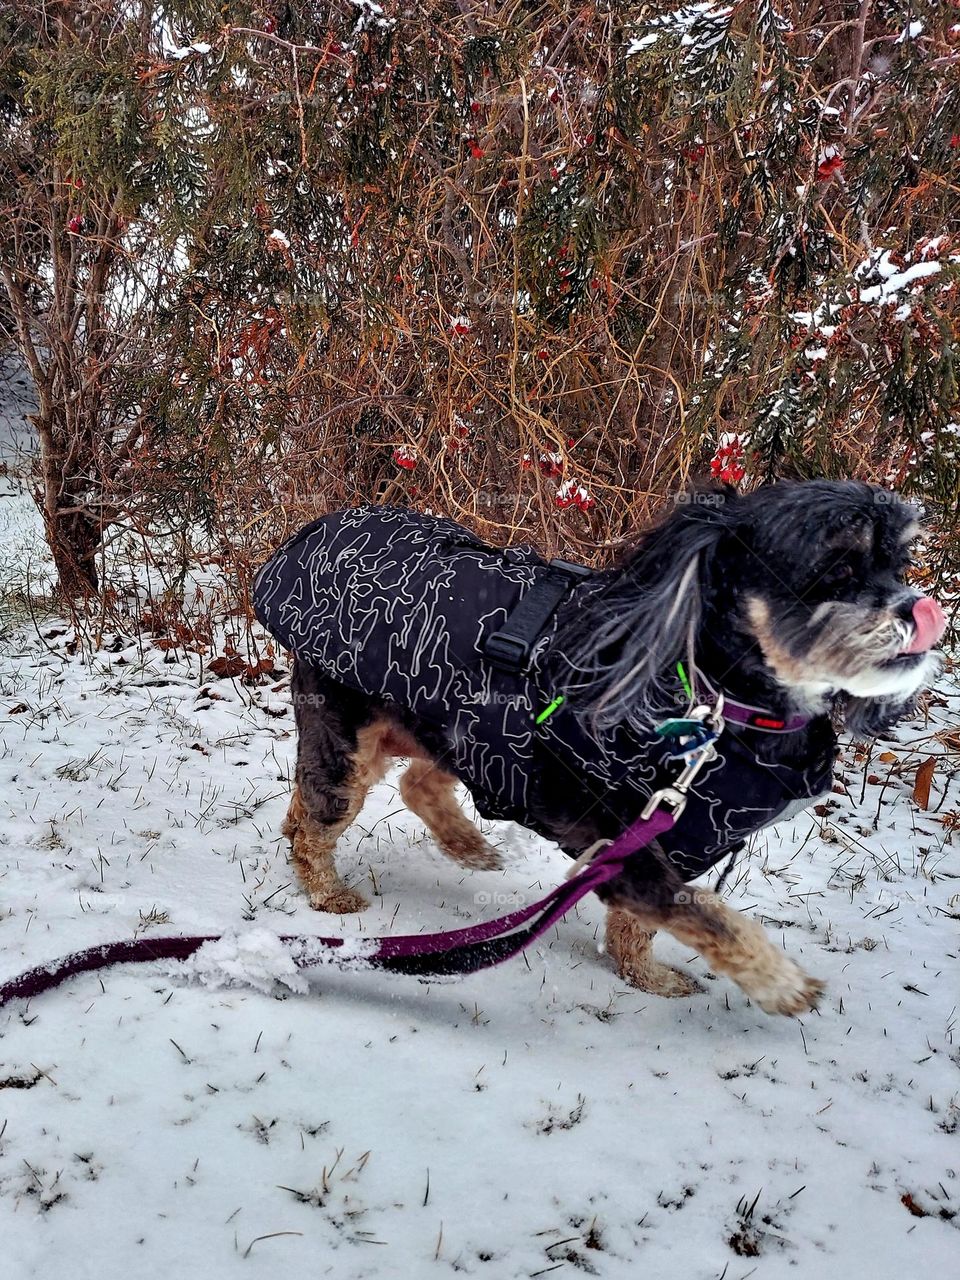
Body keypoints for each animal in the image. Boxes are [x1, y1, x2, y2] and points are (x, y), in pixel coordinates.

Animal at [249, 476, 947, 1013]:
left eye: (900, 564)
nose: (921, 610)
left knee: (406, 785)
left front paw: (645, 975)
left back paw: (468, 847)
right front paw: (779, 982)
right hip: (351, 737)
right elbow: (699, 913)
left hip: (461, 730)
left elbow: (640, 928)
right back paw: (326, 890)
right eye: (837, 569)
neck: (721, 704)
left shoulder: (670, 838)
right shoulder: (627, 840)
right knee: (317, 822)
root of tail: (315, 534)